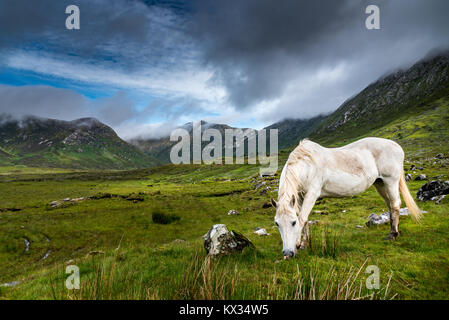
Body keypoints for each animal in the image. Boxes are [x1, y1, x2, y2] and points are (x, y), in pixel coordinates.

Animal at [272, 138, 422, 260]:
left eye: (293, 223)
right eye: (277, 223)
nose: (287, 253)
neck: (308, 164)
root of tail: (396, 146)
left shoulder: (312, 194)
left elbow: (302, 218)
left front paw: (298, 244)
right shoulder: (301, 196)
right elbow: (305, 219)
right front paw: (304, 244)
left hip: (391, 181)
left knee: (395, 204)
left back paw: (393, 234)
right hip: (380, 183)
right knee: (390, 204)